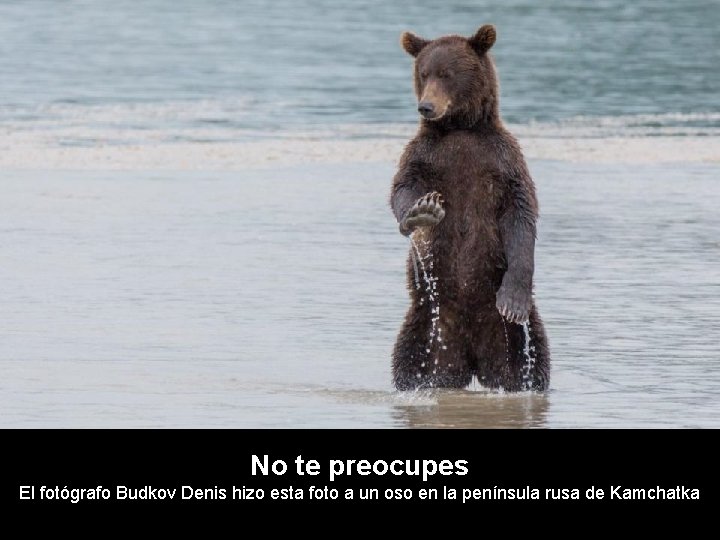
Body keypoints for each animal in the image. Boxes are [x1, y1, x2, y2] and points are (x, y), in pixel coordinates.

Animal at [390, 24, 550, 392]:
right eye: (423, 73)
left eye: (447, 74)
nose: (426, 106)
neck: (460, 128)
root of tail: (474, 363)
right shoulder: (425, 156)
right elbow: (402, 188)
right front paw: (421, 212)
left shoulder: (501, 161)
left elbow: (521, 216)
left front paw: (513, 301)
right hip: (426, 325)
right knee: (408, 361)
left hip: (513, 338)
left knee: (534, 362)